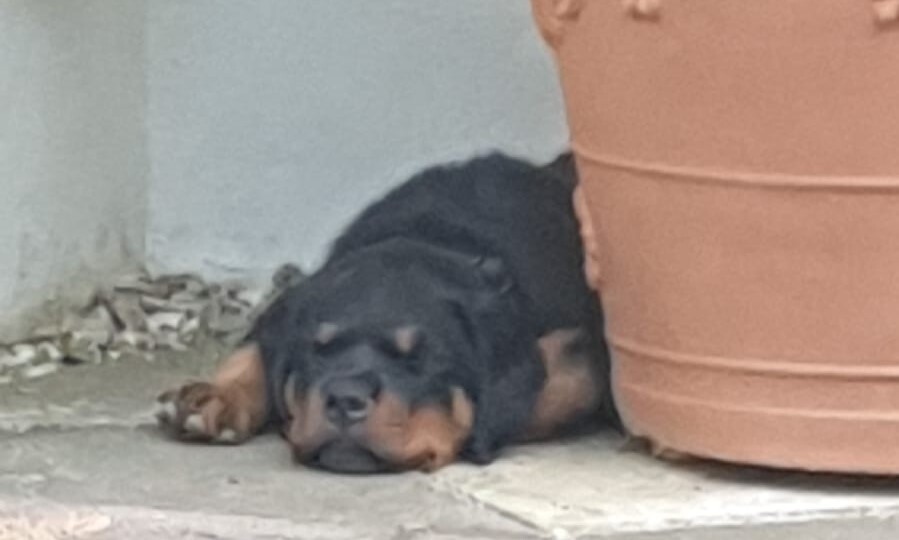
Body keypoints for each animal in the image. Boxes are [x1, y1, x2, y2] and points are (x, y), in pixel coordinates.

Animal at [155, 152, 616, 473]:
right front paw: (212, 398)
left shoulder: (577, 355)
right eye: (318, 350)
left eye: (419, 360)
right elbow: (253, 352)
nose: (344, 400)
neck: (433, 238)